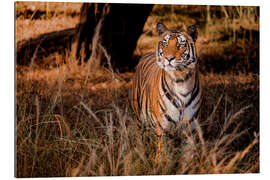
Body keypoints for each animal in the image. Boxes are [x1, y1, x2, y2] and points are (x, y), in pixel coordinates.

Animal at [130, 22, 201, 160]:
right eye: (165, 43)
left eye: (181, 44)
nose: (168, 58)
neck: (181, 80)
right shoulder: (163, 128)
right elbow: (163, 156)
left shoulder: (190, 129)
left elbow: (188, 158)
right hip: (138, 119)